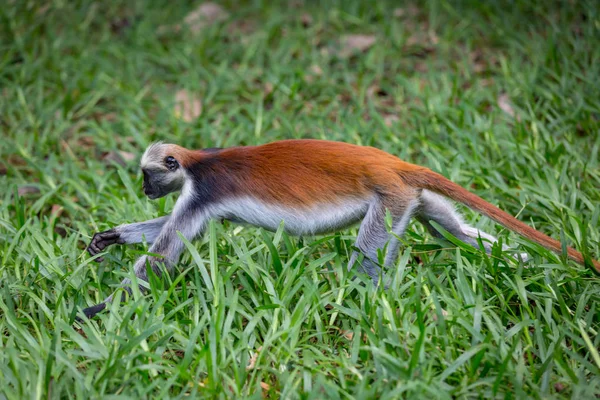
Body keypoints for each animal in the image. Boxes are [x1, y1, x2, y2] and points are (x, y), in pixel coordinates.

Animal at [81, 139, 600, 320]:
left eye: (147, 175)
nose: (144, 189)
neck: (195, 161)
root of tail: (392, 162)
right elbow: (164, 237)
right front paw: (114, 236)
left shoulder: (201, 190)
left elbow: (163, 254)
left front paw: (96, 311)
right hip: (409, 196)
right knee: (451, 232)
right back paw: (530, 269)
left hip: (389, 198)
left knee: (367, 259)